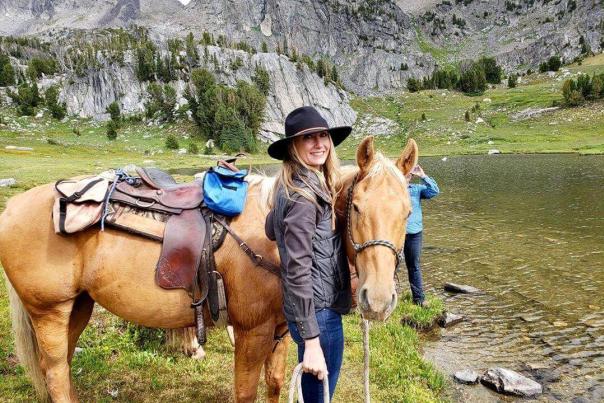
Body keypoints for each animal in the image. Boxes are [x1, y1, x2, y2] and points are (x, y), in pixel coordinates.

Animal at [0, 137, 416, 402]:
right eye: (358, 207)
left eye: (408, 211)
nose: (379, 300)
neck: (273, 234)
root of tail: (13, 207)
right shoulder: (251, 333)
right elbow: (246, 392)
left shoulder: (281, 331)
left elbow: (275, 385)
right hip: (49, 311)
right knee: (55, 370)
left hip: (79, 306)